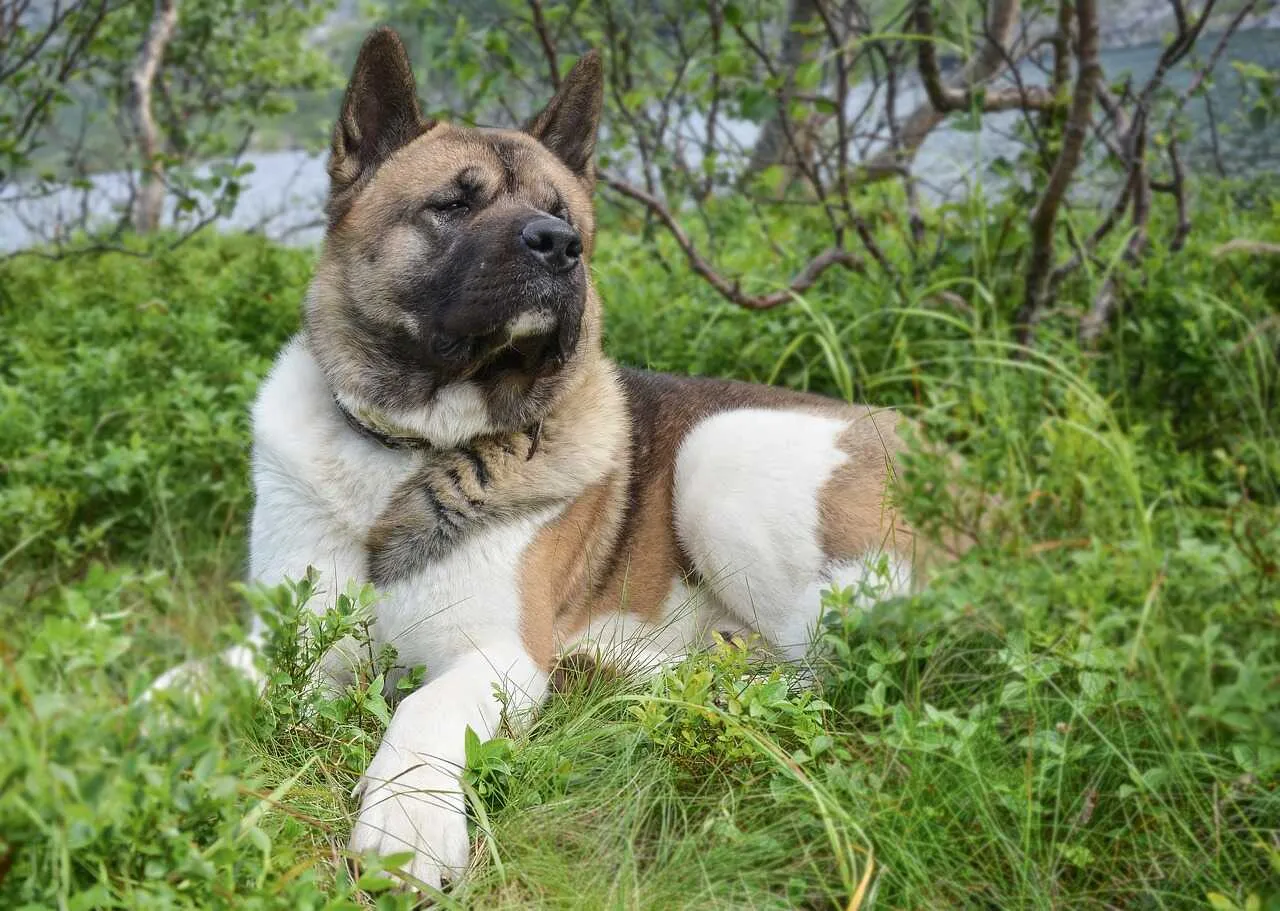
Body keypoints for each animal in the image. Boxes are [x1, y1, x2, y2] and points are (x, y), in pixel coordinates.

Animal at [165, 26, 936, 890]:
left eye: (563, 214)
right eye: (454, 203)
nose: (558, 244)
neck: (413, 444)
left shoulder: (496, 651)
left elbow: (423, 705)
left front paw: (408, 821)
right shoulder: (293, 637)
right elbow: (182, 679)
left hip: (722, 455)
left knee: (826, 674)